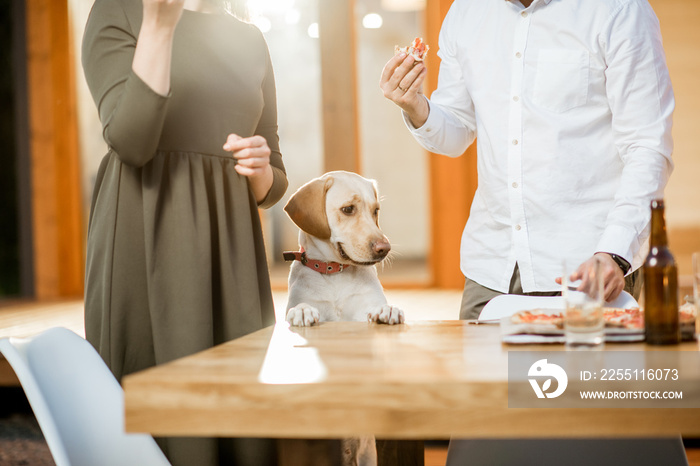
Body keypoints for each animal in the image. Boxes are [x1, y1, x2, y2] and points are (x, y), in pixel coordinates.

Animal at [284, 169, 404, 326]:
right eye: (348, 209)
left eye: (376, 210)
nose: (385, 249)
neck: (335, 273)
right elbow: (302, 305)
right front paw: (302, 310)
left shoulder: (364, 307)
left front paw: (387, 309)